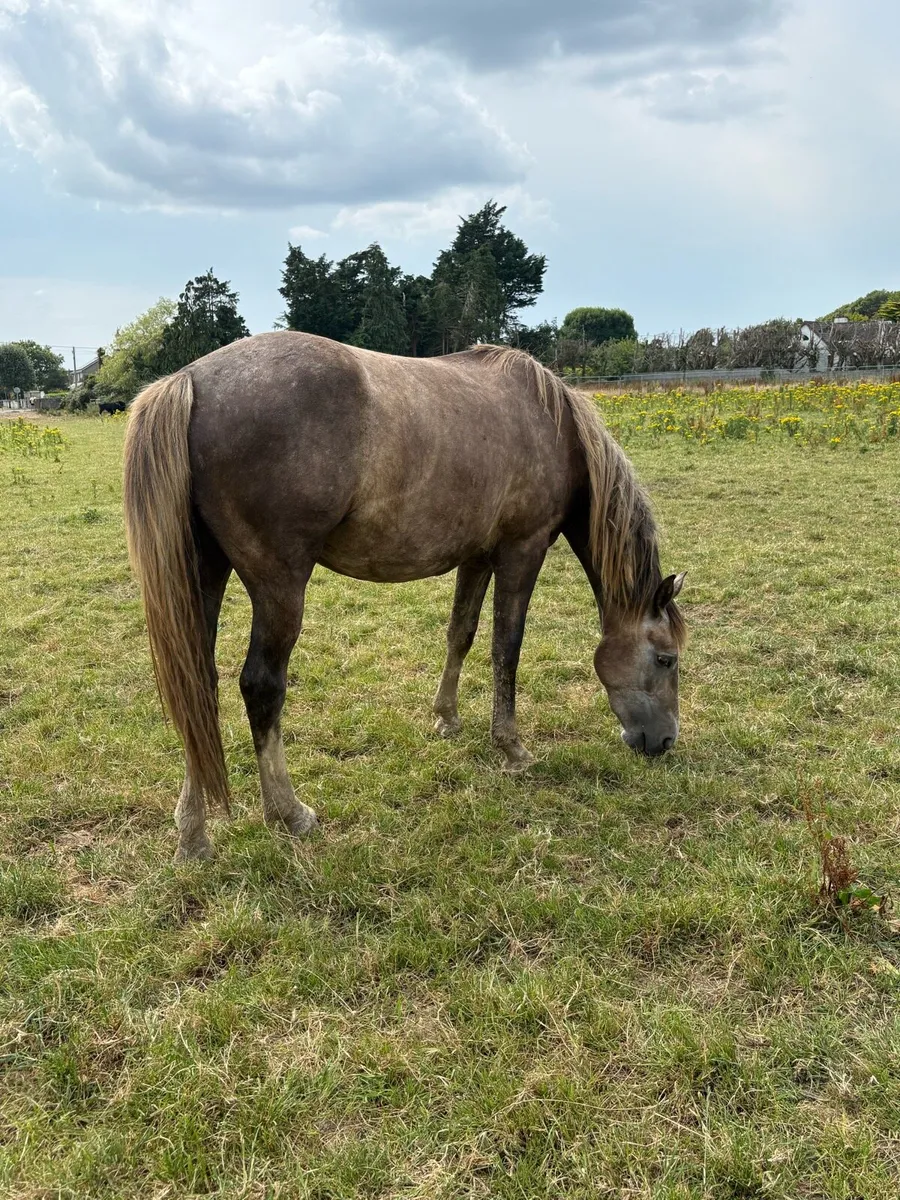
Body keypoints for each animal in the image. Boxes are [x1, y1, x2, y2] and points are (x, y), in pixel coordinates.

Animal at [123, 334, 686, 861]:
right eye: (666, 658)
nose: (663, 741)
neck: (554, 425)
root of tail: (191, 380)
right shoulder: (520, 553)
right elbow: (506, 648)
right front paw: (512, 748)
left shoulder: (477, 557)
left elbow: (461, 634)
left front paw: (446, 718)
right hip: (279, 586)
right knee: (260, 688)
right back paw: (289, 812)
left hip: (205, 575)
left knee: (197, 687)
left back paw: (193, 835)